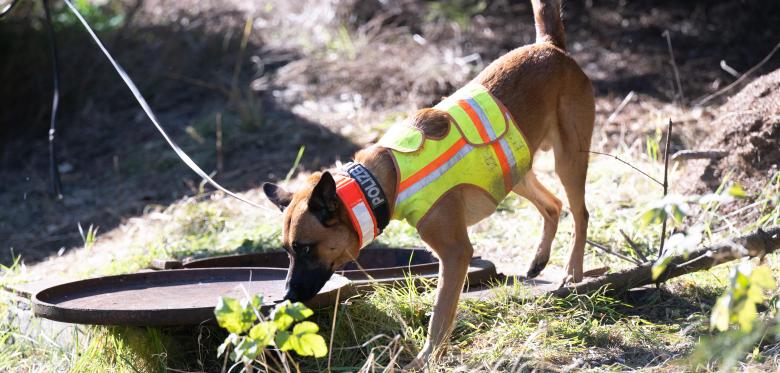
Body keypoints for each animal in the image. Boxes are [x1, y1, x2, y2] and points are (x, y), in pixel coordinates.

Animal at [266, 0, 596, 366]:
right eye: (287, 251)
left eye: (305, 248)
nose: (286, 296)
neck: (384, 181)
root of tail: (550, 46)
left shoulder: (455, 253)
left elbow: (440, 313)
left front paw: (425, 359)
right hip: (516, 169)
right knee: (553, 205)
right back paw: (540, 260)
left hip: (568, 159)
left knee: (579, 213)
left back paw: (573, 272)